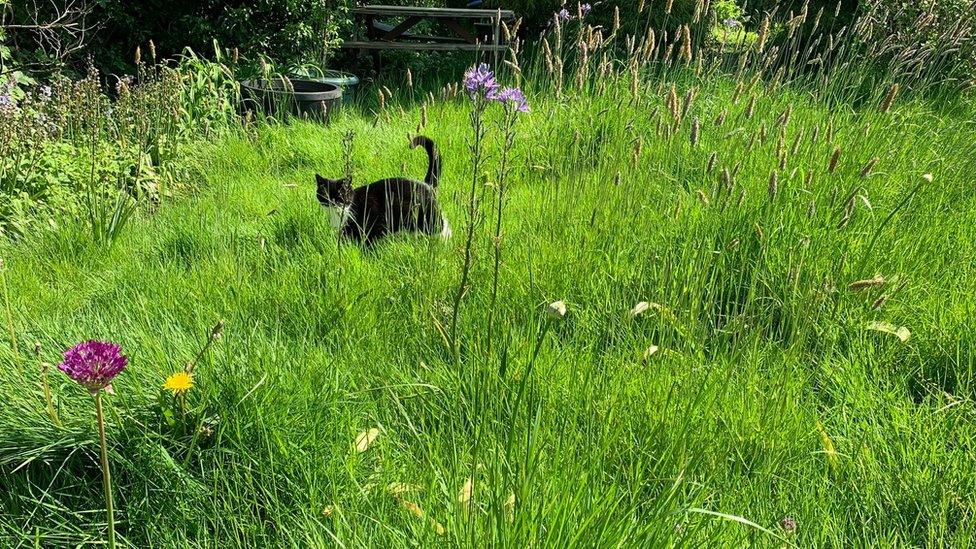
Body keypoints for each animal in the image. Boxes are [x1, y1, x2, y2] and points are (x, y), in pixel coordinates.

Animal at [318, 135, 452, 244]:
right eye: (325, 194)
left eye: (341, 194)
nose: (333, 201)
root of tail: (426, 184)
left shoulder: (370, 222)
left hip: (428, 217)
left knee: (443, 226)